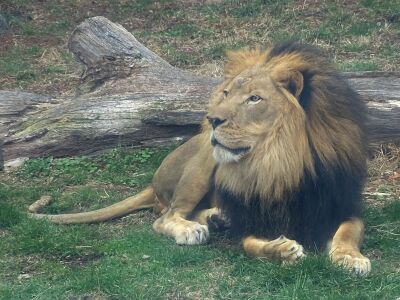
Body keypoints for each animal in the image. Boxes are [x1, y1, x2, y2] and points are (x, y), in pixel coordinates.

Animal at [31, 41, 372, 276]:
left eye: (254, 98)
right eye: (226, 93)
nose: (212, 119)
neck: (277, 163)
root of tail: (153, 182)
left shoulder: (342, 205)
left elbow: (348, 232)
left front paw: (350, 258)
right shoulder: (252, 218)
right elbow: (251, 244)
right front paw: (282, 250)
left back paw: (215, 218)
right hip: (201, 166)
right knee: (165, 216)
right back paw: (192, 229)